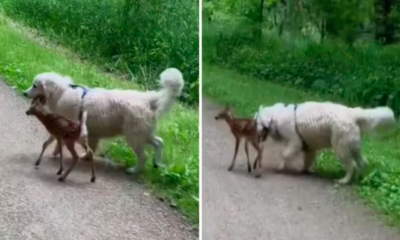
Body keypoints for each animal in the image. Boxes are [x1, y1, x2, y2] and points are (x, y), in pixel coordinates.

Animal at [23, 68, 183, 173]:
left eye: (34, 85)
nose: (24, 93)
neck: (61, 93)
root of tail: (148, 99)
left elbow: (58, 143)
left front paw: (56, 154)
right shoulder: (91, 134)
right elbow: (90, 149)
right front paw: (85, 157)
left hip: (134, 136)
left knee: (144, 156)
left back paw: (134, 170)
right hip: (143, 134)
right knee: (159, 142)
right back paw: (156, 163)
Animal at [255, 101, 396, 184]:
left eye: (256, 121)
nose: (252, 129)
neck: (276, 116)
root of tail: (353, 113)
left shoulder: (295, 142)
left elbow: (284, 154)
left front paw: (280, 167)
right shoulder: (309, 148)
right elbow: (307, 161)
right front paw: (304, 170)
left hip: (340, 148)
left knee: (352, 165)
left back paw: (343, 180)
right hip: (354, 147)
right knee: (362, 163)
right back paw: (360, 179)